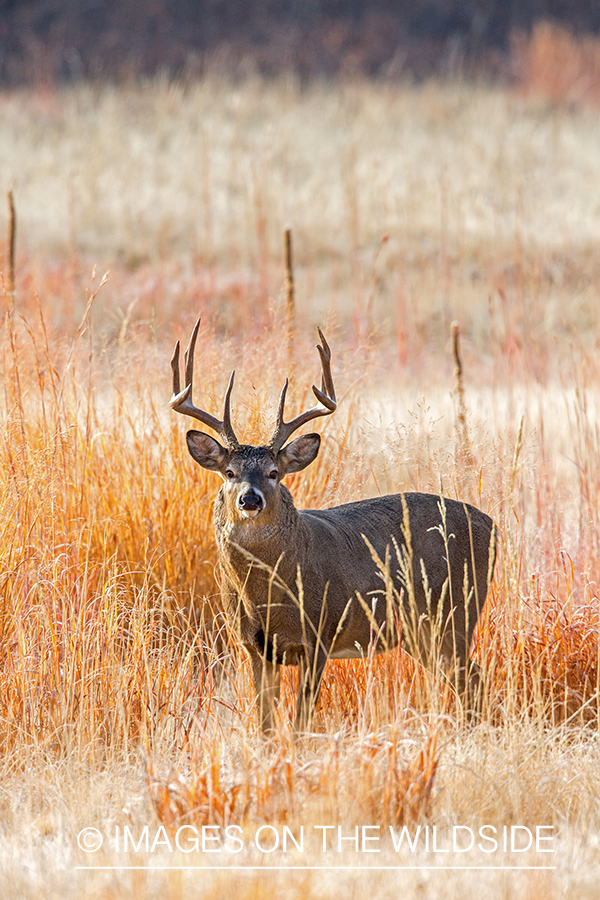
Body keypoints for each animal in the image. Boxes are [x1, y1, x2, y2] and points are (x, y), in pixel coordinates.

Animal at [170, 320, 496, 736]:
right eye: (229, 472)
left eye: (274, 472)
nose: (250, 499)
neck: (270, 595)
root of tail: (492, 525)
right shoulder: (254, 647)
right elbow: (265, 726)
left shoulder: (319, 636)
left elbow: (300, 723)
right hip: (421, 631)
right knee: (469, 680)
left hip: (455, 613)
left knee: (474, 680)